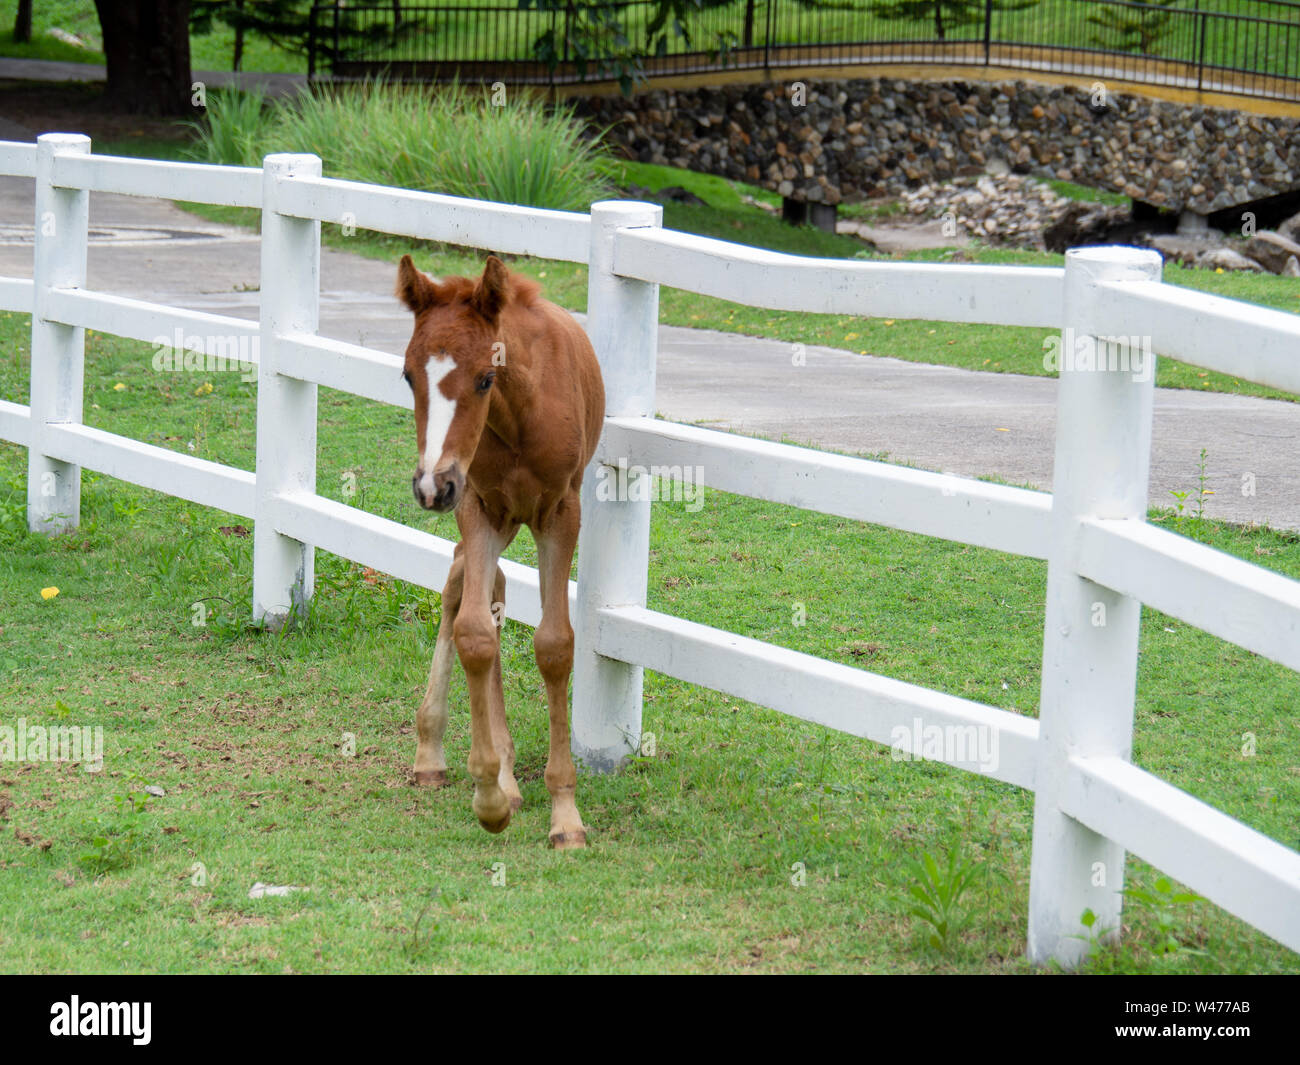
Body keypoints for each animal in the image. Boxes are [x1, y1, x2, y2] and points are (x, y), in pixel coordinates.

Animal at [395, 253, 604, 850]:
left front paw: (566, 816)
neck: (519, 416)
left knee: (485, 588)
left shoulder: (560, 512)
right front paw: (488, 797)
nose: (429, 487)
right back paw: (440, 757)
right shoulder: (477, 504)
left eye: (485, 378)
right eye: (408, 375)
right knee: (467, 592)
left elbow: (554, 645)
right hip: (489, 514)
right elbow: (474, 634)